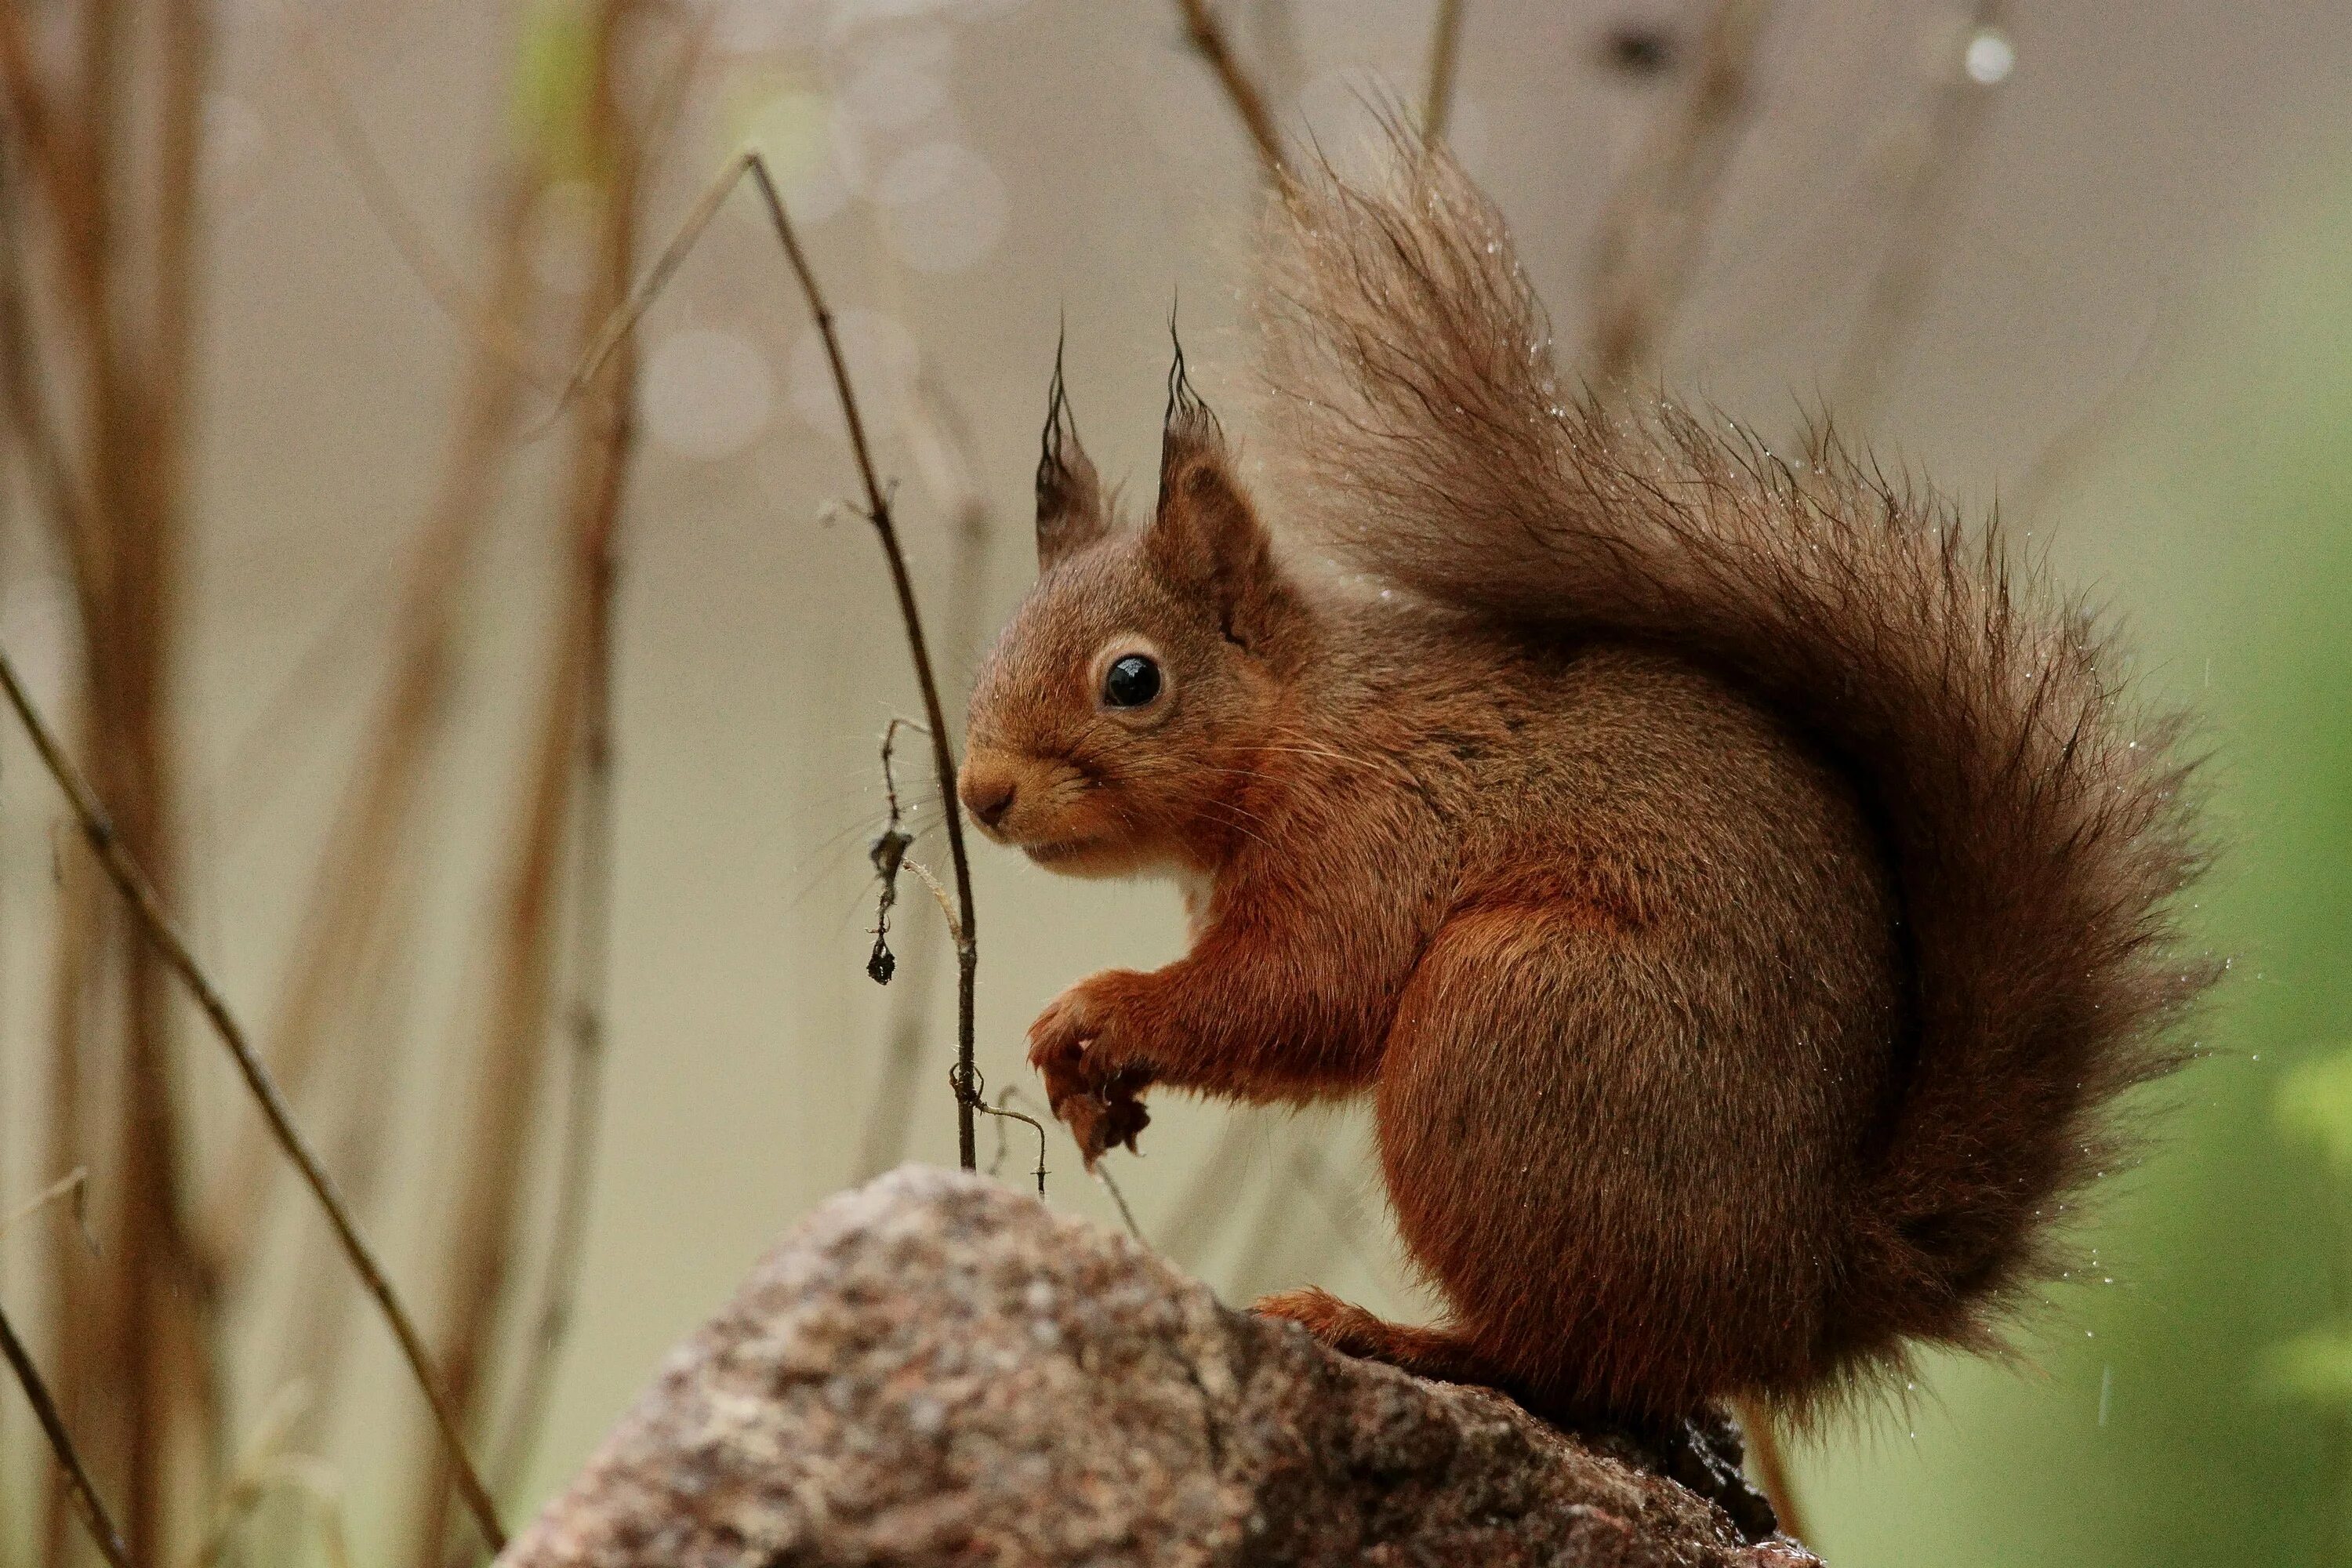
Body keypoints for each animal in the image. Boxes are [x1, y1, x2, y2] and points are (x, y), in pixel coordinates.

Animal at [955, 140, 2201, 1429]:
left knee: (1566, 1358)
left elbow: (1301, 988)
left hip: (1516, 1017)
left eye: (1133, 679)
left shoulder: (1376, 829)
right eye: (997, 643)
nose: (981, 791)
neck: (1305, 722)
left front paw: (1098, 1010)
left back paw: (1390, 1333)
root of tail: (1799, 1293)